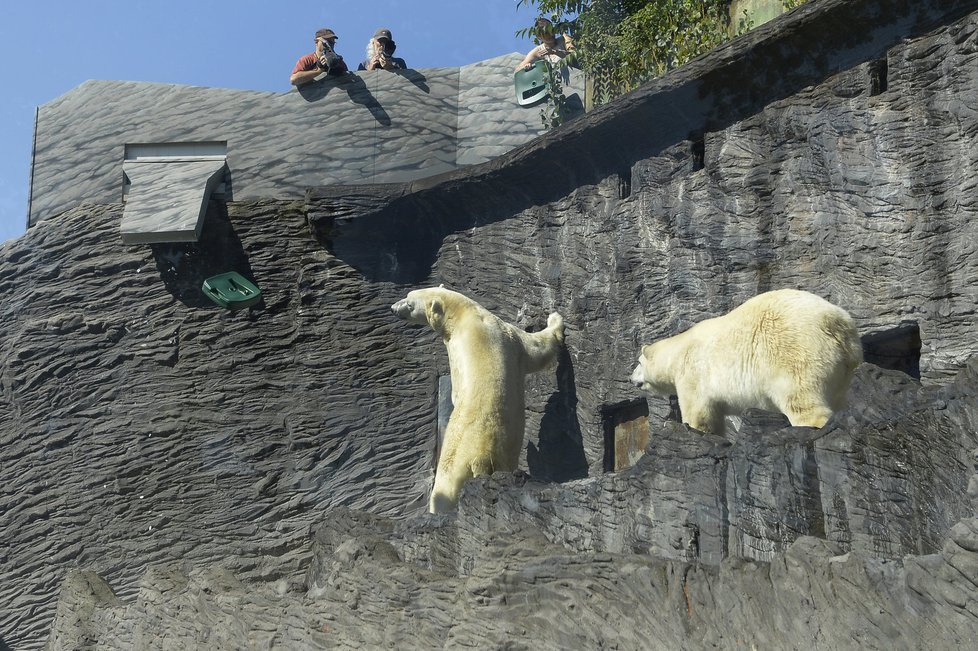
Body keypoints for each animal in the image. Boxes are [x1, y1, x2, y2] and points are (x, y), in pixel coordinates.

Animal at [386, 286, 560, 516]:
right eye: (408, 296)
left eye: (409, 302)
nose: (393, 308)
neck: (465, 313)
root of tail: (480, 458)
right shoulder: (506, 335)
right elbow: (536, 348)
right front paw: (555, 319)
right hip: (501, 453)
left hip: (461, 464)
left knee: (445, 491)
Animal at [628, 292, 856, 438]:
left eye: (638, 363)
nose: (631, 378)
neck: (678, 350)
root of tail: (835, 323)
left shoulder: (692, 373)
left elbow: (697, 411)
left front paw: (690, 428)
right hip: (845, 367)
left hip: (794, 352)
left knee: (800, 396)